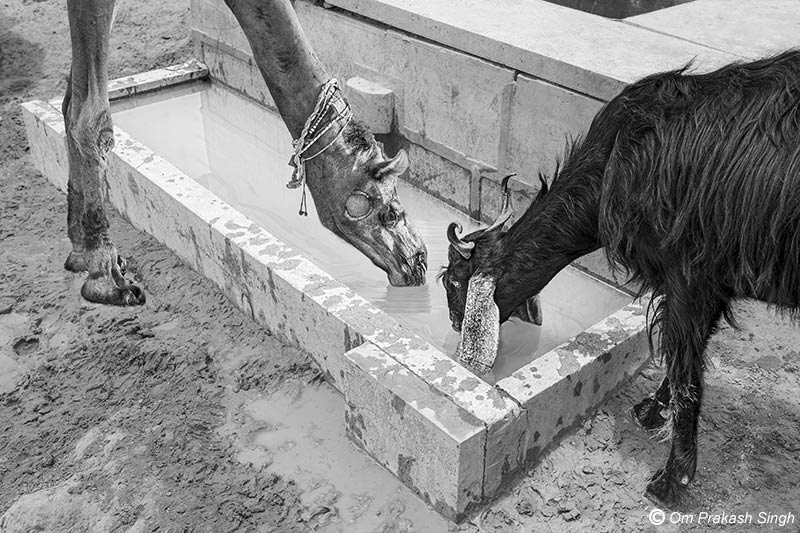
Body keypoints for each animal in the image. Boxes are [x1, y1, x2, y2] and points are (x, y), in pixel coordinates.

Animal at [63, 0, 428, 306]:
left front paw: (80, 254)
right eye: (389, 213)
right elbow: (89, 115)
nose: (418, 264)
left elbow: (70, 102)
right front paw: (104, 279)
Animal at [441, 49, 800, 507]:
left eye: (453, 281)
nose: (454, 325)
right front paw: (650, 410)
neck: (615, 158)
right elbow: (686, 354)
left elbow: (685, 367)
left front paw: (671, 480)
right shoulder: (710, 286)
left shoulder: (690, 275)